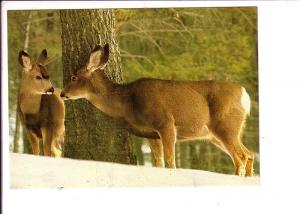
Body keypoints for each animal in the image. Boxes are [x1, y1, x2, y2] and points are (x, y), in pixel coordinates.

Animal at [62, 43, 254, 176]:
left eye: (73, 77)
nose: (62, 93)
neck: (128, 103)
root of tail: (244, 94)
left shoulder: (165, 122)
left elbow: (170, 160)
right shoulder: (151, 133)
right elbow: (159, 162)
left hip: (225, 125)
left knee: (241, 157)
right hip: (217, 134)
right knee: (250, 154)